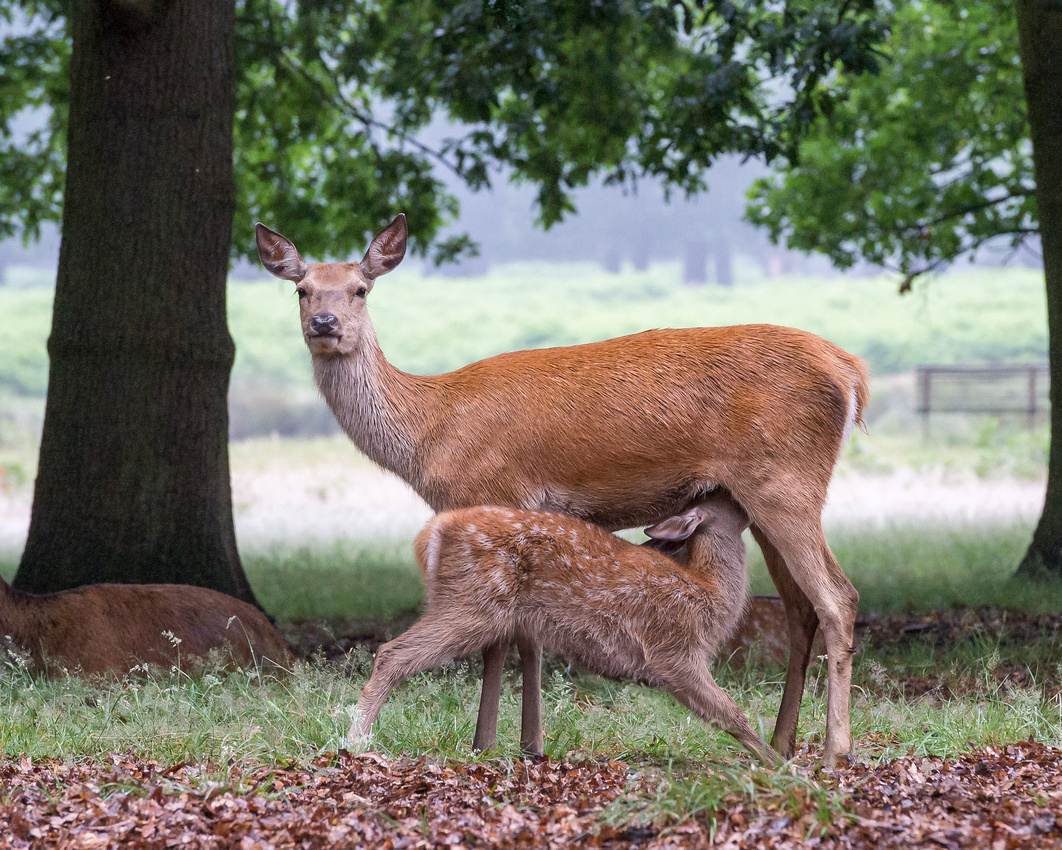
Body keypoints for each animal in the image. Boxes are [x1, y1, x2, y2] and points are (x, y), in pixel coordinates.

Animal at [352, 490, 777, 765]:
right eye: (732, 503)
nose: (753, 503)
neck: (707, 591)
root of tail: (432, 534)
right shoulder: (673, 651)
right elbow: (729, 712)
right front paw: (777, 762)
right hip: (471, 603)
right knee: (391, 653)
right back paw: (357, 741)